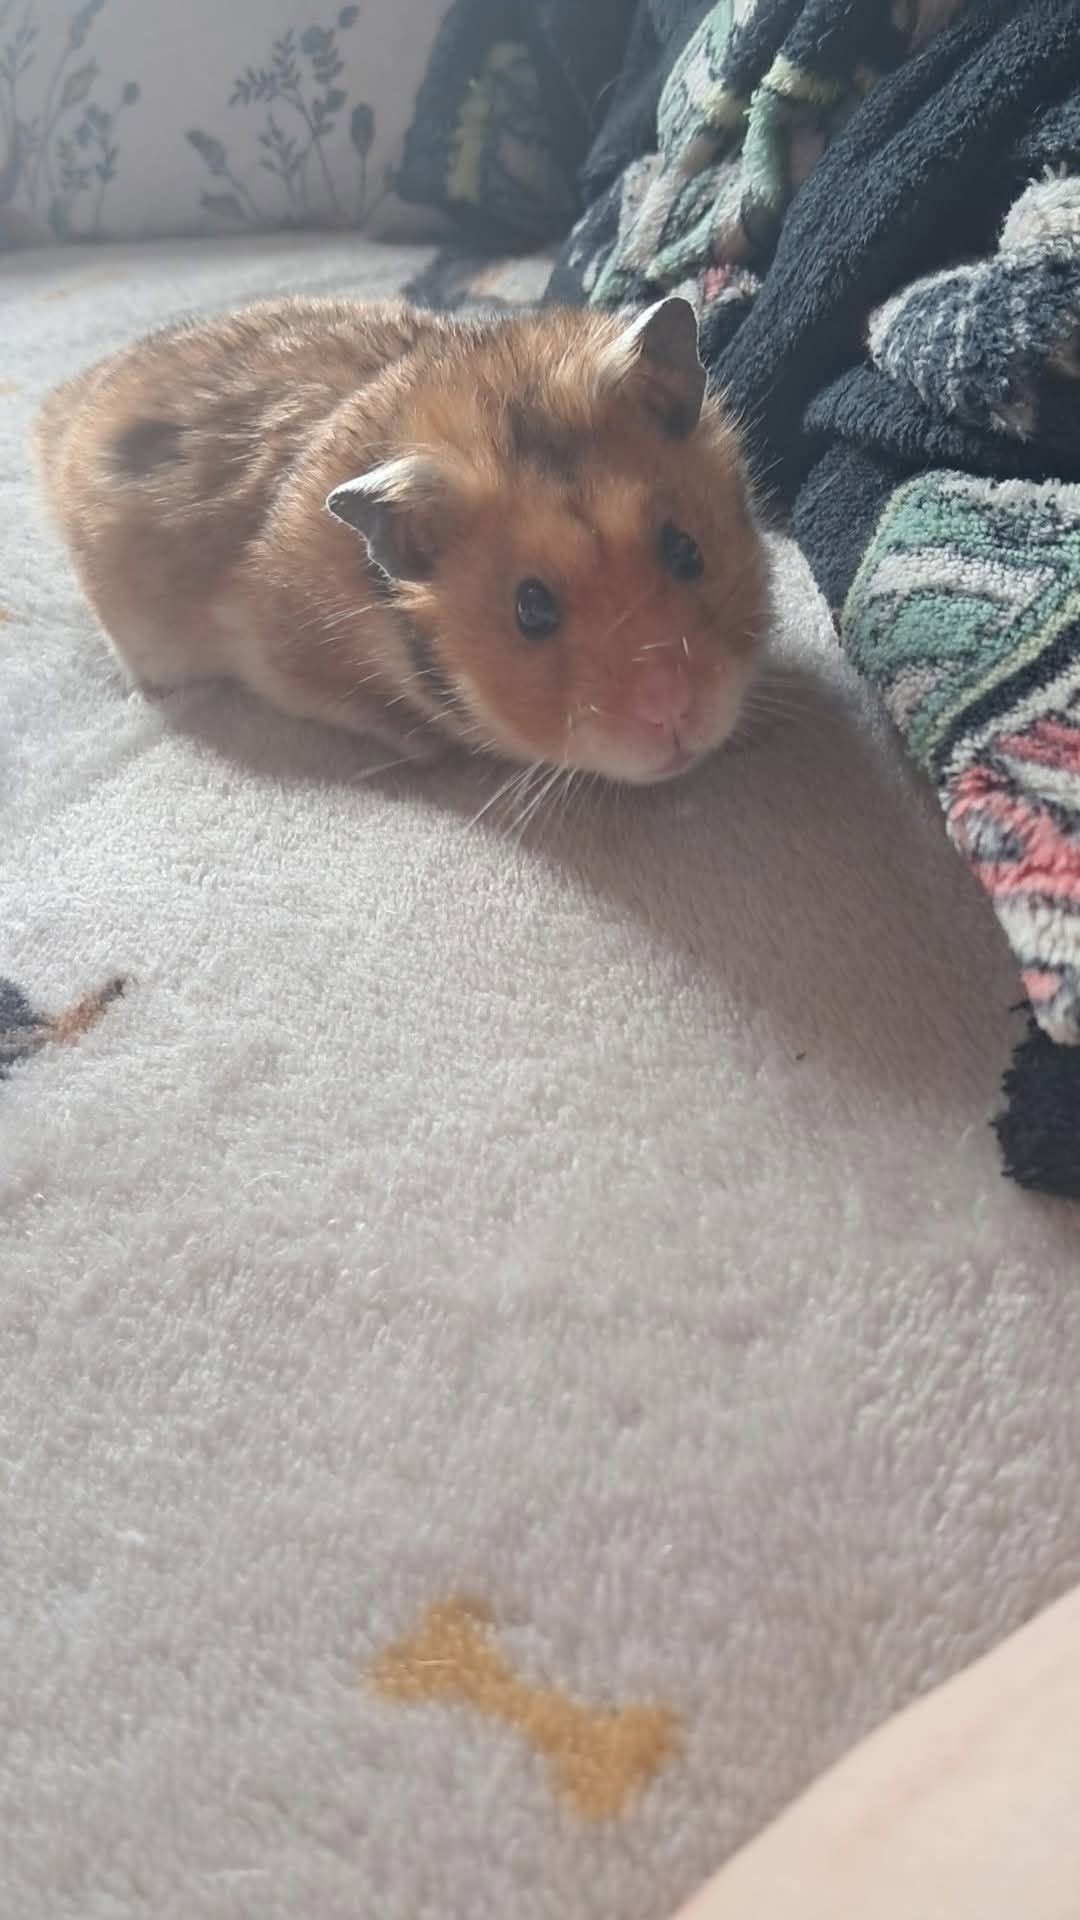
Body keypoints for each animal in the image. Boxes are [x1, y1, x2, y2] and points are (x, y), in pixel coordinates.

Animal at [36, 293, 769, 784]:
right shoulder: (282, 657)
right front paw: (430, 750)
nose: (673, 713)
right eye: (530, 610)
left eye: (687, 550)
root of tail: (58, 405)